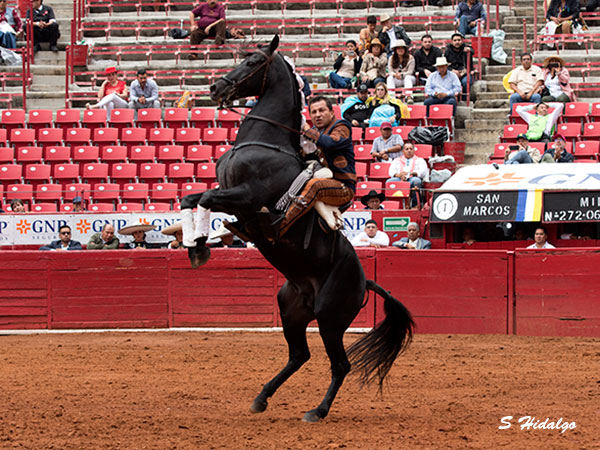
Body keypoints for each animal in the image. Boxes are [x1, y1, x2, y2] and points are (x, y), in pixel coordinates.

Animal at [183, 35, 414, 422]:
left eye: (254, 61)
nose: (216, 88)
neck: (267, 142)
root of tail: (364, 281)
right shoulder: (230, 196)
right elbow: (191, 199)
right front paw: (196, 244)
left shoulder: (246, 197)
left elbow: (204, 199)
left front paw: (200, 247)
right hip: (291, 310)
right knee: (299, 355)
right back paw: (262, 397)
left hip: (331, 318)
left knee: (340, 365)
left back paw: (317, 411)